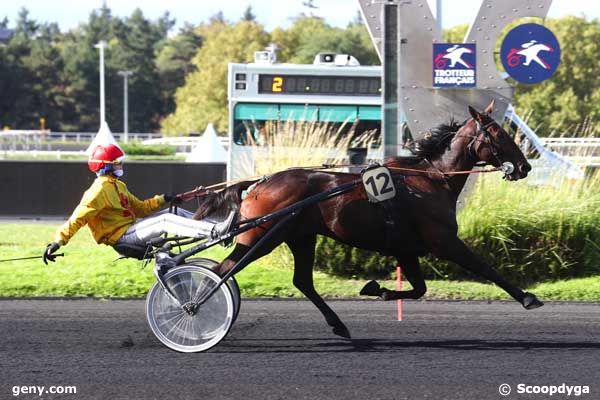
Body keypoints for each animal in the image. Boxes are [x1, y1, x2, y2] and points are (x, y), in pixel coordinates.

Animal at [195, 101, 540, 338]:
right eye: (499, 134)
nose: (525, 167)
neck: (432, 179)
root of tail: (257, 184)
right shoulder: (443, 241)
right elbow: (484, 267)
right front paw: (528, 298)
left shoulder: (407, 249)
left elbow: (419, 289)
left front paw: (378, 289)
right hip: (260, 237)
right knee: (219, 272)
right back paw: (195, 310)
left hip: (299, 236)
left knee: (302, 281)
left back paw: (339, 325)